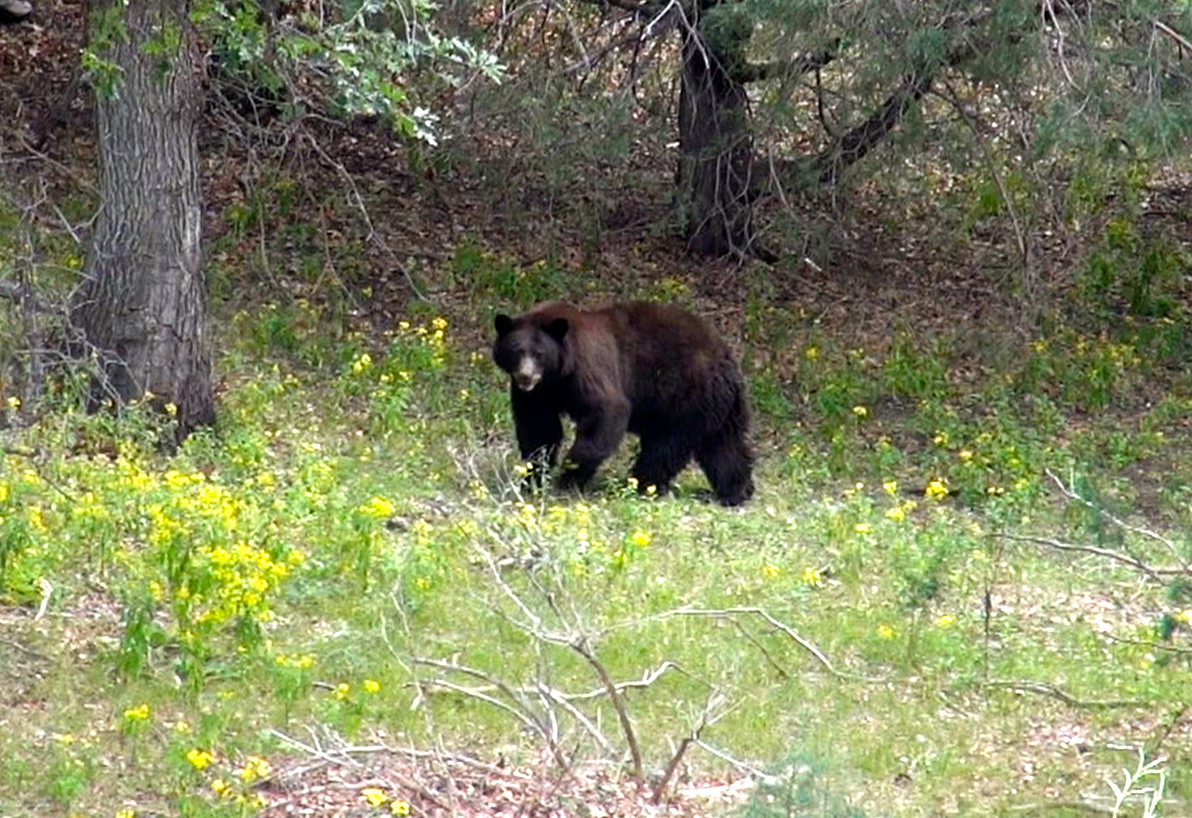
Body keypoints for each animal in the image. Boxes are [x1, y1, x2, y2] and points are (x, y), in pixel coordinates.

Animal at [492, 300, 754, 506]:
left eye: (539, 354)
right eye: (516, 350)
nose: (526, 376)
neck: (557, 376)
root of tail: (727, 360)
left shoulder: (587, 371)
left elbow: (606, 412)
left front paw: (567, 479)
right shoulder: (537, 394)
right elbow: (539, 429)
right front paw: (533, 479)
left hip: (685, 397)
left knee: (666, 445)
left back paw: (640, 485)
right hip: (718, 406)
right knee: (724, 446)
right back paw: (734, 492)